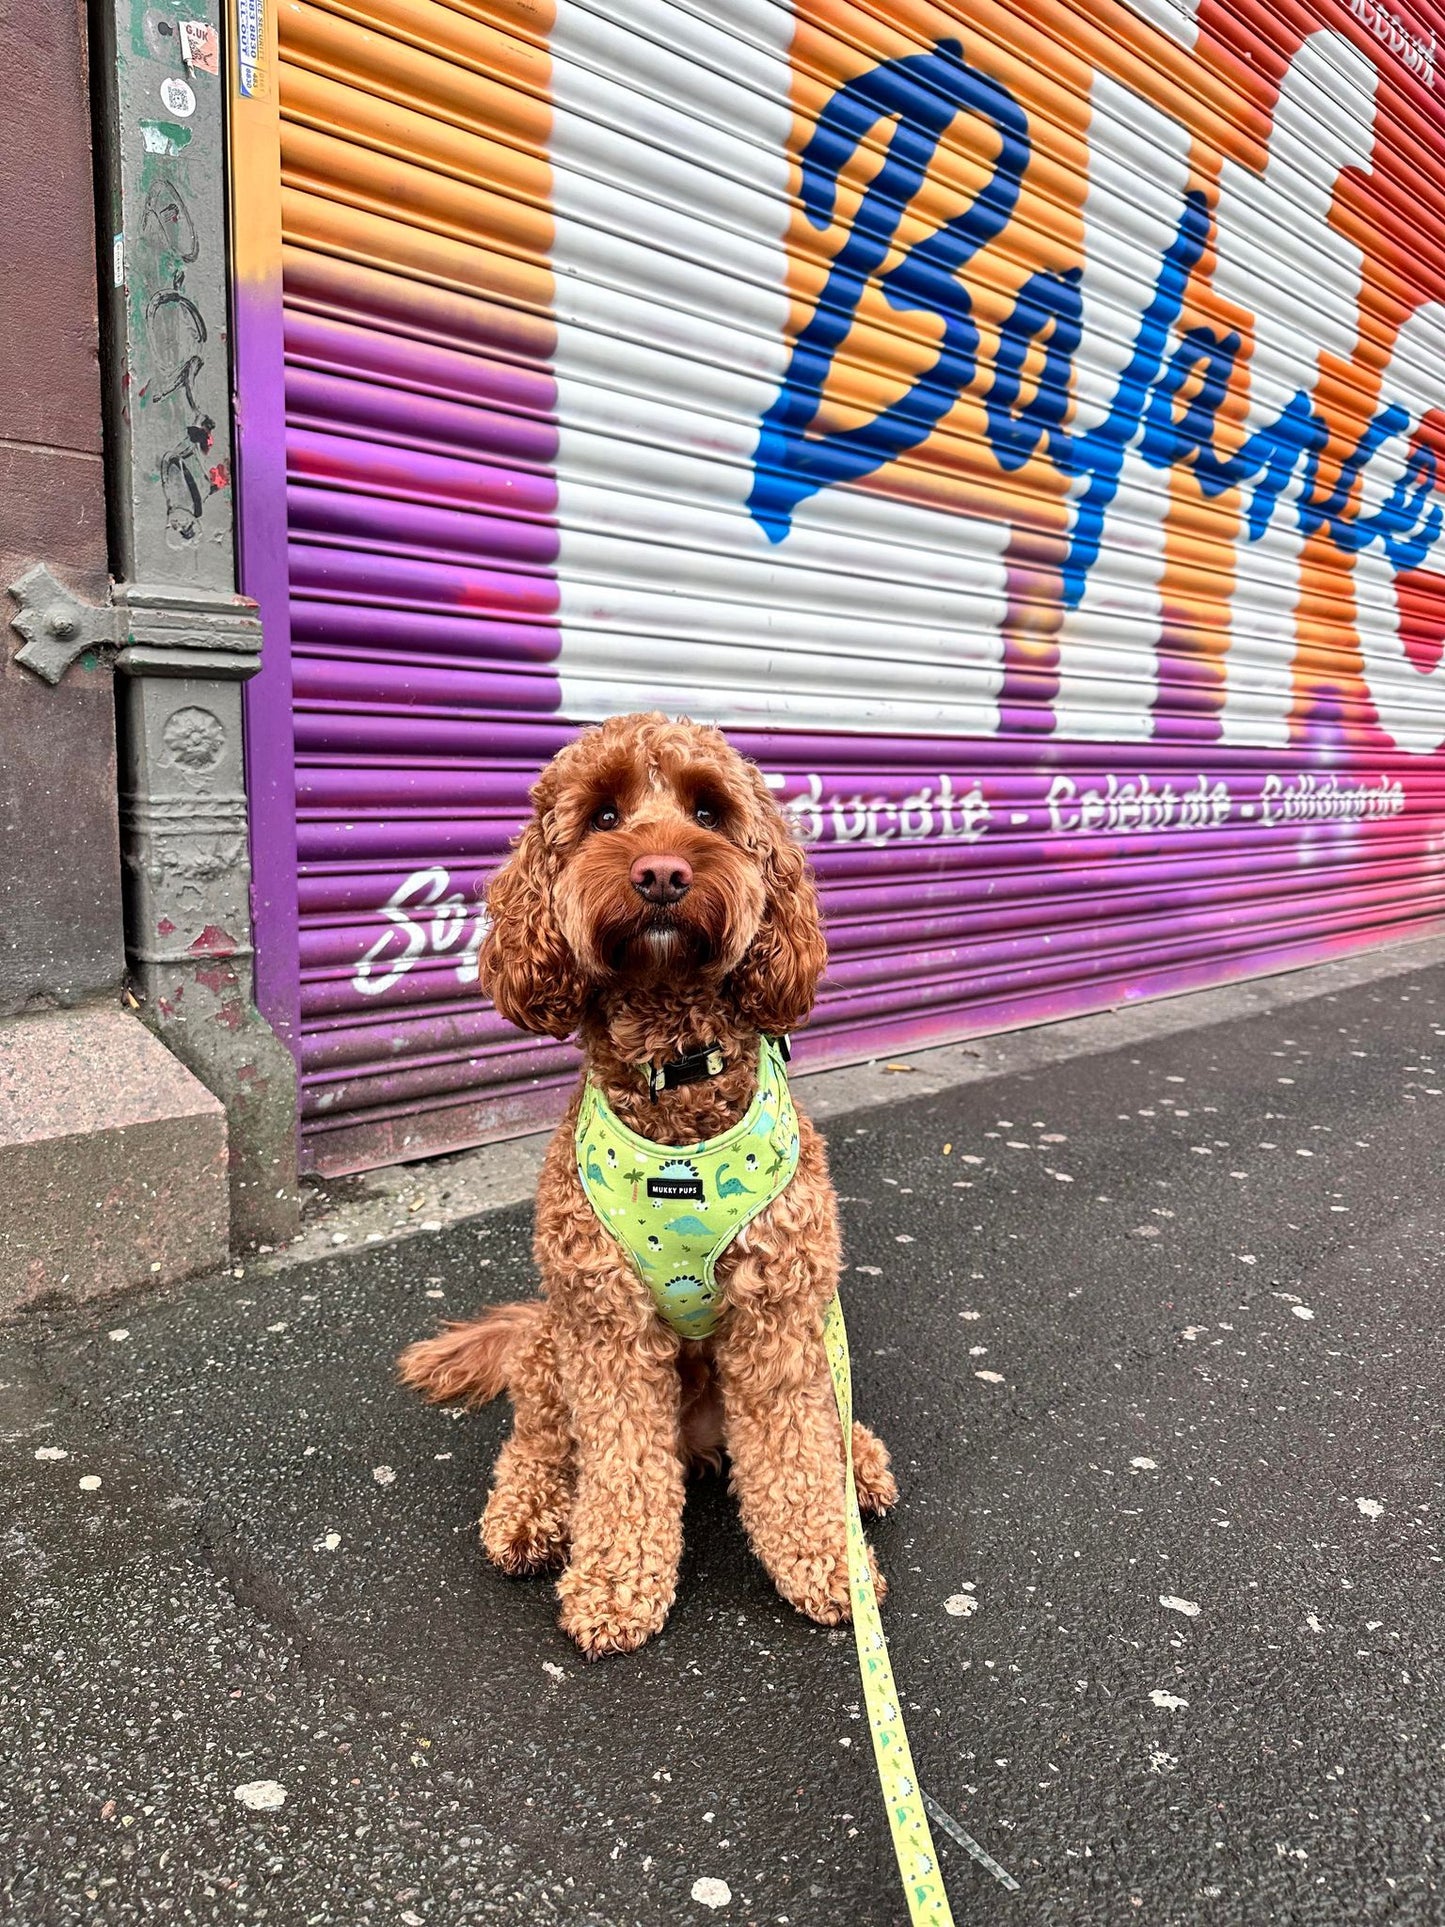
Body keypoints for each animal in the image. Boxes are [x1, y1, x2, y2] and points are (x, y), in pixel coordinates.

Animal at [396, 712, 893, 1657]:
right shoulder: (607, 1327)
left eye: (707, 809)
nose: (661, 872)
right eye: (602, 816)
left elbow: (795, 1450)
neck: (677, 1079)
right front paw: (615, 1587)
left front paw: (827, 1561)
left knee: (820, 1418)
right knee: (539, 1444)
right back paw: (526, 1516)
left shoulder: (778, 1316)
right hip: (552, 1342)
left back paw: (860, 1461)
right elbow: (622, 1469)